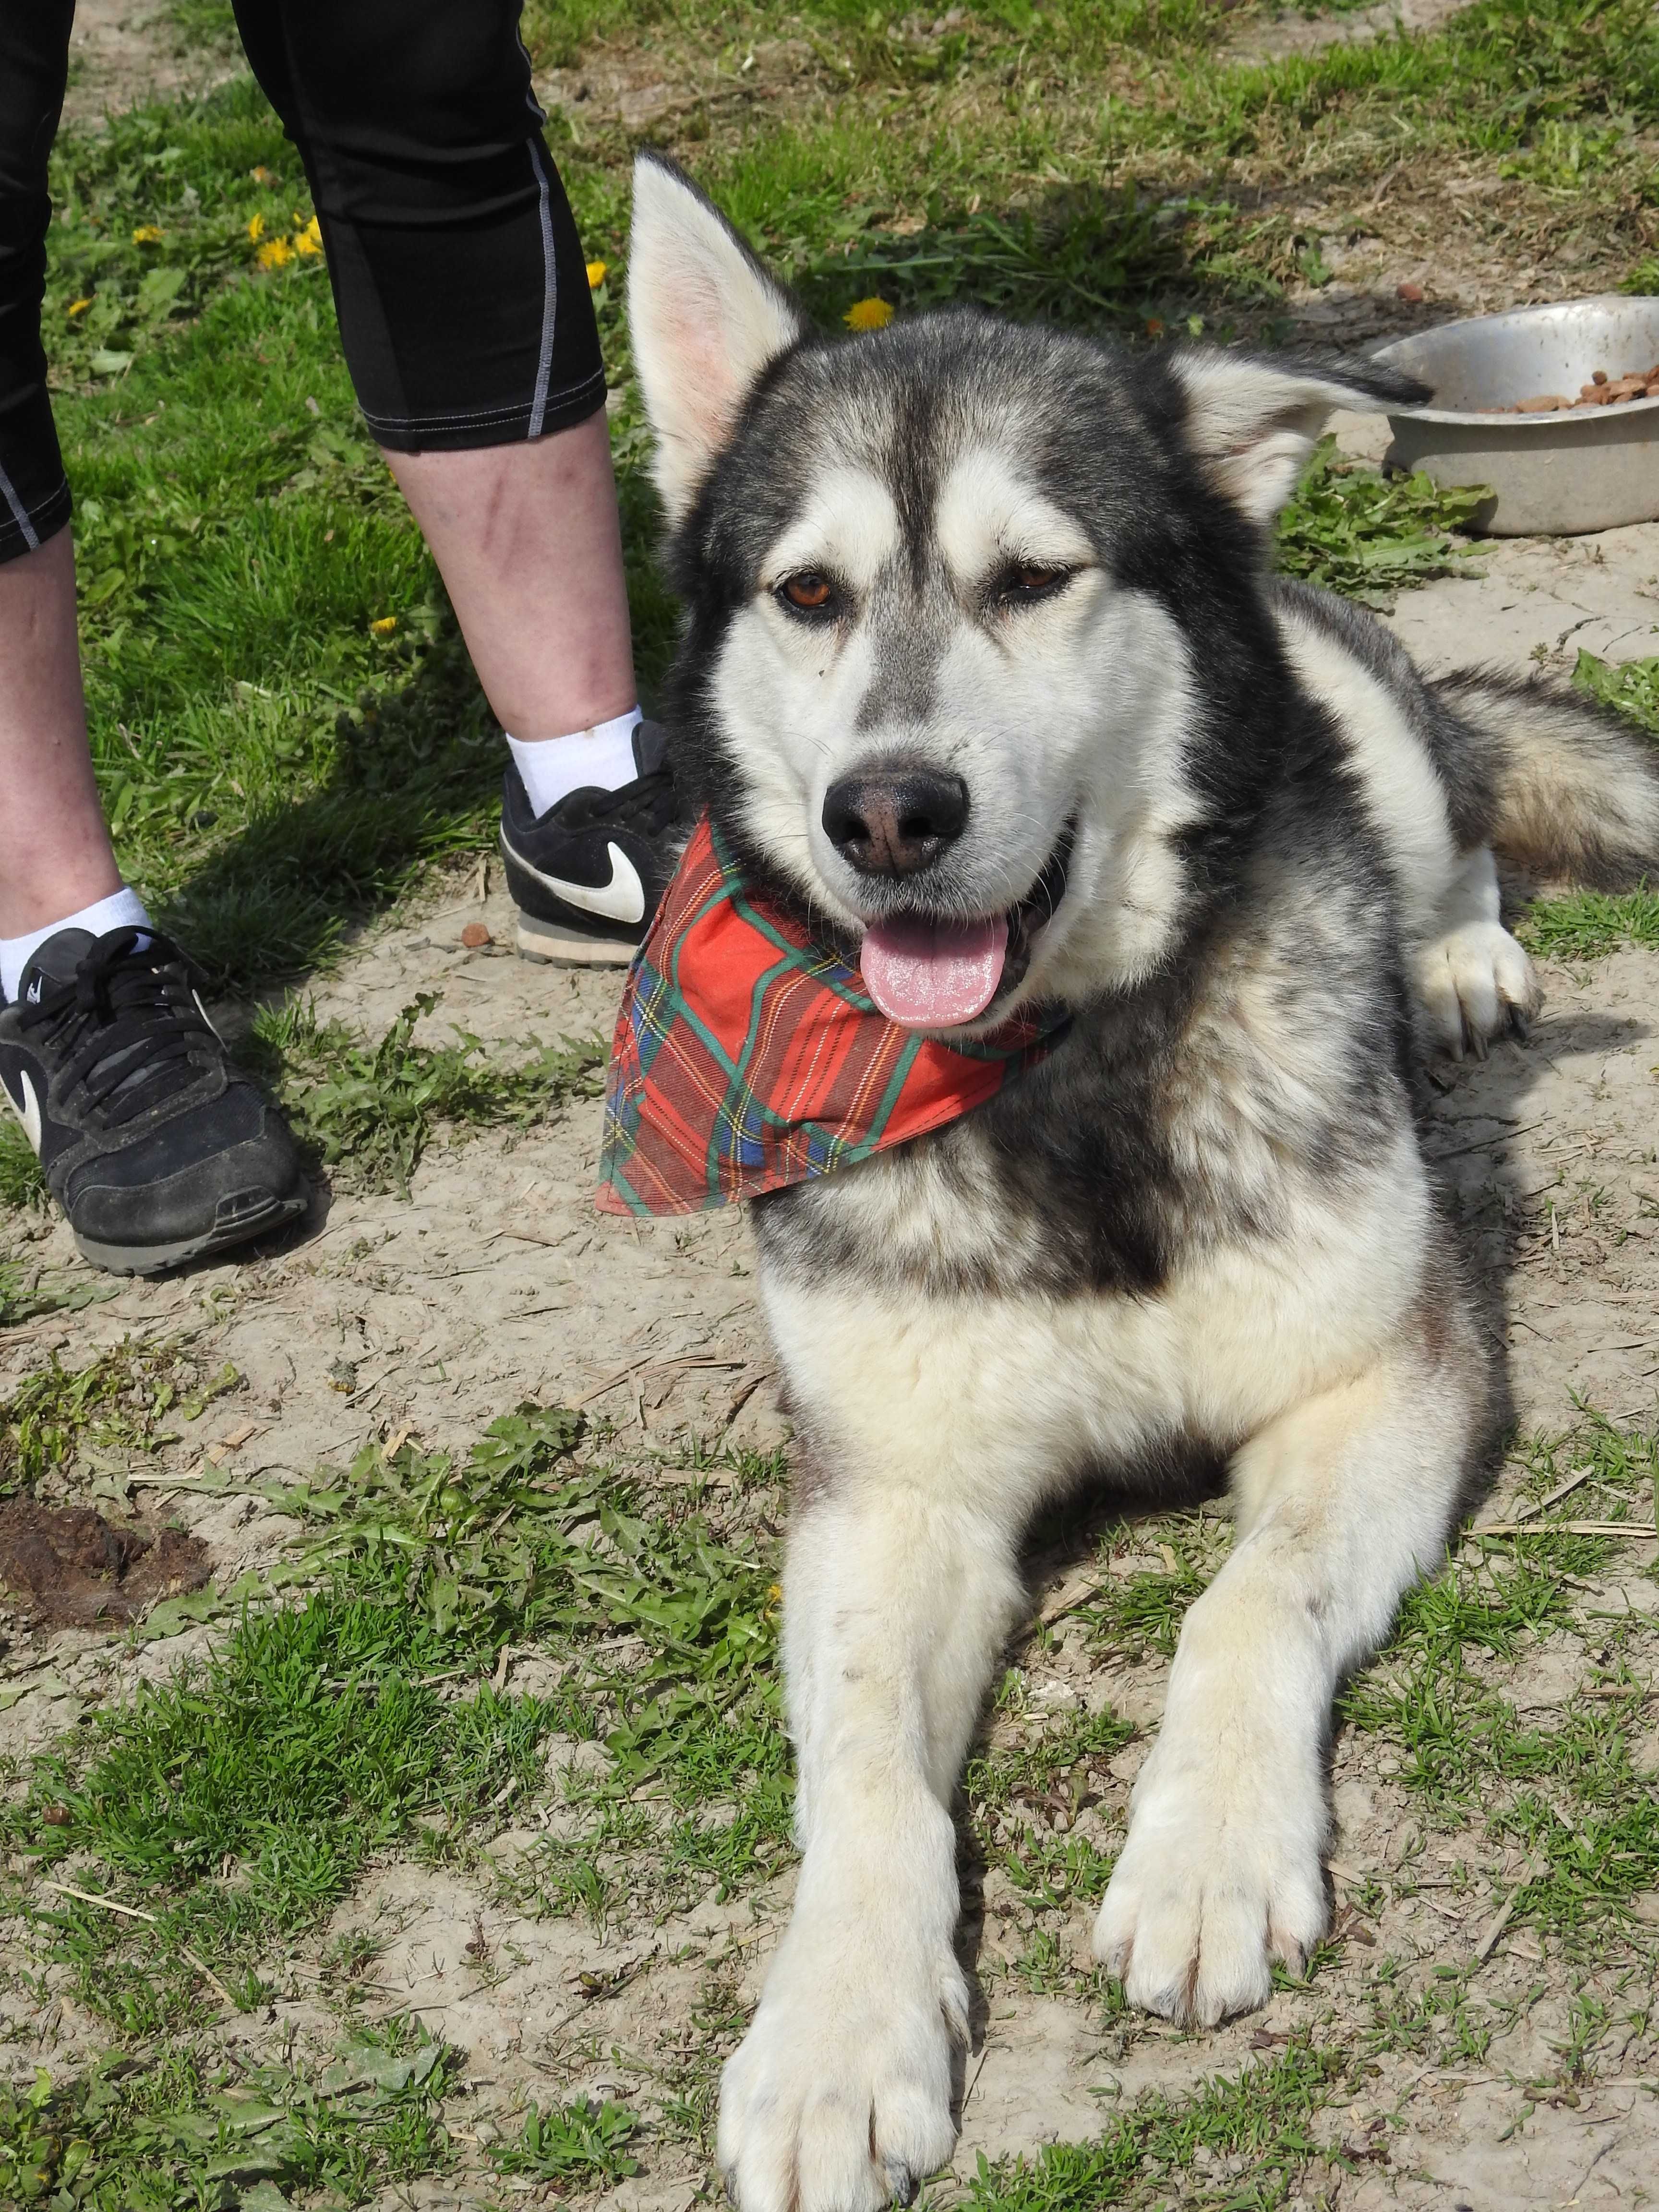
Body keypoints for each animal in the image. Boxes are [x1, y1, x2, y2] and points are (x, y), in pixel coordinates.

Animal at [619, 156, 1659, 2212]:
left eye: (1035, 577)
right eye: (807, 593)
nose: (890, 812)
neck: (1067, 1078)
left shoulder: (1386, 1374)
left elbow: (1240, 1603)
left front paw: (1204, 1856)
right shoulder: (890, 1493)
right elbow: (859, 1769)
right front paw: (834, 2029)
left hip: (1359, 717)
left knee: (1449, 814)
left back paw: (1449, 962)